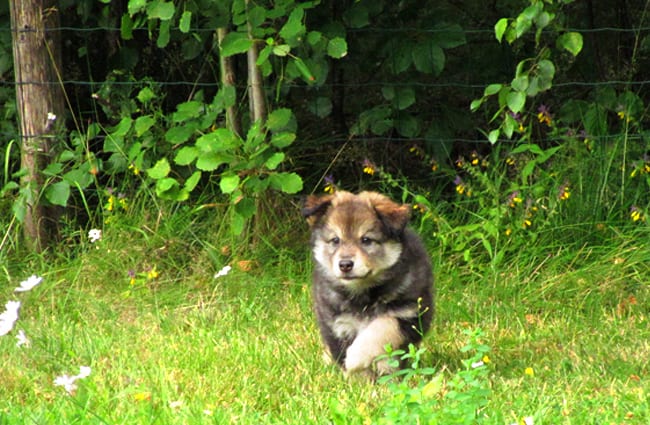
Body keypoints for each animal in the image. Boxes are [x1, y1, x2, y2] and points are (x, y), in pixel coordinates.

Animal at [302, 190, 432, 376]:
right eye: (335, 240)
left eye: (366, 240)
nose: (345, 264)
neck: (363, 293)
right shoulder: (337, 324)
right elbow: (344, 357)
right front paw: (356, 378)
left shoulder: (411, 314)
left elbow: (382, 327)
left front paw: (357, 357)